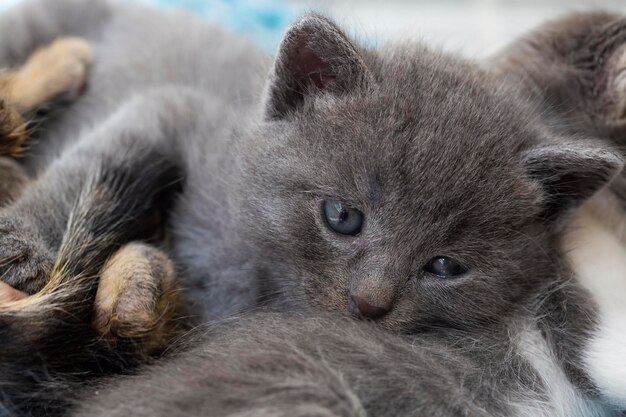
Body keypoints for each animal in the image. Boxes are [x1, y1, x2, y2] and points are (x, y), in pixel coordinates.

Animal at [0, 0, 620, 414]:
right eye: (342, 216)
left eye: (445, 266)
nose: (369, 302)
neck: (258, 281)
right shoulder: (176, 109)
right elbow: (98, 169)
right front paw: (22, 246)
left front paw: (138, 290)